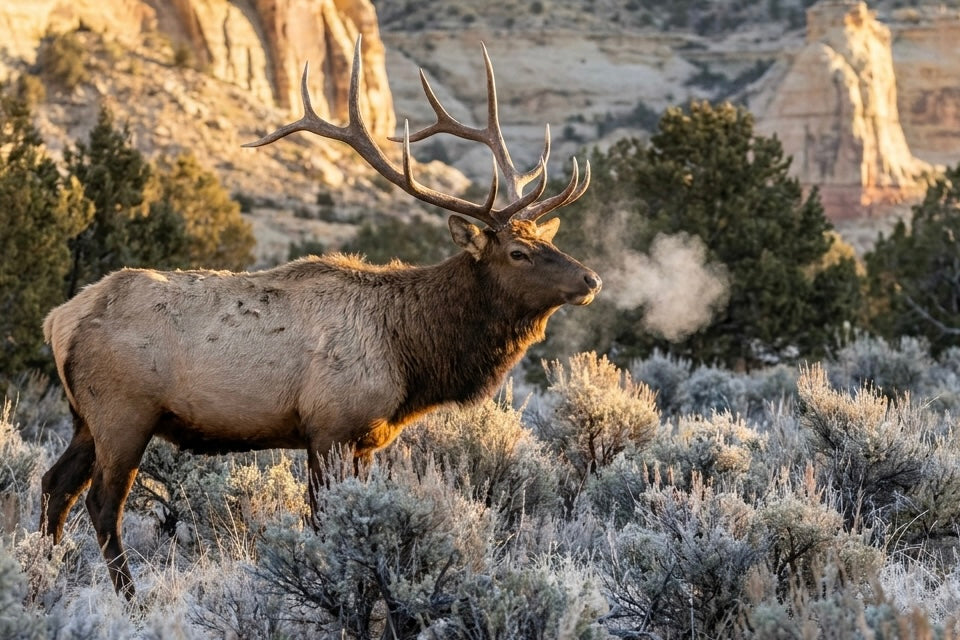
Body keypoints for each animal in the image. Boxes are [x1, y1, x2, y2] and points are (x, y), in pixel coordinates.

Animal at [40, 37, 601, 599]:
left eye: (547, 240)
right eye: (517, 253)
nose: (591, 280)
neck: (409, 354)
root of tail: (58, 320)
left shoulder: (367, 438)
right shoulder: (330, 424)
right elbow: (322, 518)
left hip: (84, 416)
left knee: (53, 485)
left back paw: (45, 574)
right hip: (124, 411)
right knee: (101, 502)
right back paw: (128, 597)